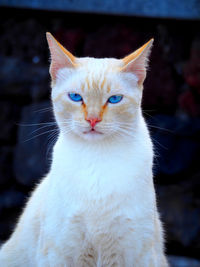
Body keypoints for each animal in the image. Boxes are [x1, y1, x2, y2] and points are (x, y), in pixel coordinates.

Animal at [0, 31, 169, 267]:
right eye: (75, 97)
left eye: (114, 99)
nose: (93, 120)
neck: (96, 158)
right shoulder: (61, 252)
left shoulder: (135, 253)